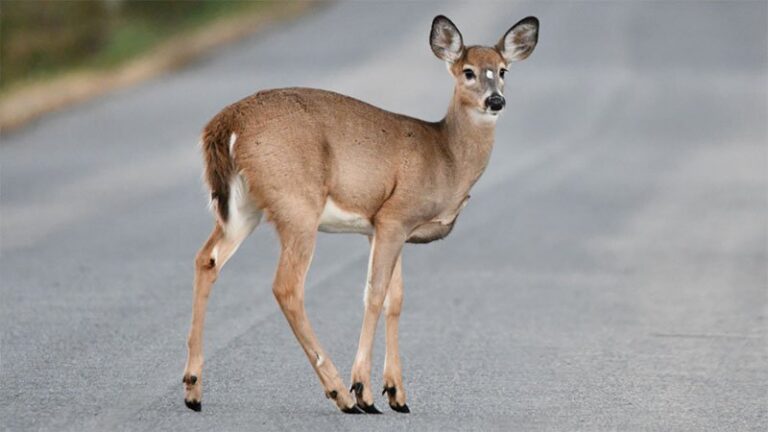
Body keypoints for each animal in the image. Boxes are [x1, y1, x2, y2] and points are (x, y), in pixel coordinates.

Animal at [182, 14, 539, 414]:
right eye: (468, 72)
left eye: (503, 70)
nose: (496, 100)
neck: (446, 158)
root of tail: (225, 123)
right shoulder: (394, 215)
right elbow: (375, 294)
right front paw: (364, 391)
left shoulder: (384, 229)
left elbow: (396, 300)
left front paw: (397, 393)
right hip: (297, 203)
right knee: (286, 286)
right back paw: (339, 392)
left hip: (244, 207)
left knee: (206, 260)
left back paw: (193, 389)